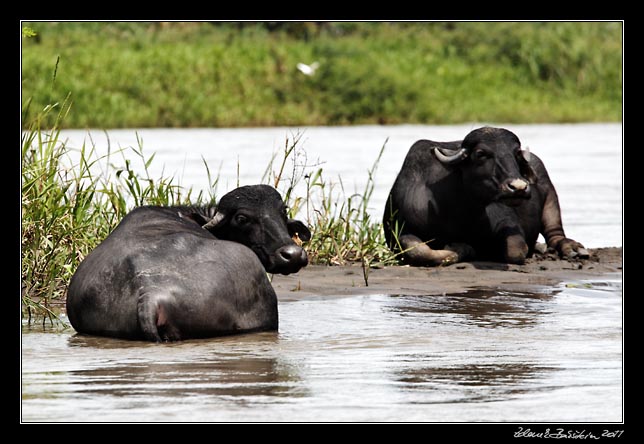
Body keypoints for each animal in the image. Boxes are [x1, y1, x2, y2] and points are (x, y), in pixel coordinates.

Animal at [382, 126, 588, 266]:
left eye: (516, 154)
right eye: (480, 153)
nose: (519, 187)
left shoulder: (508, 224)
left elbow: (516, 251)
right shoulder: (401, 230)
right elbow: (419, 251)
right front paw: (460, 248)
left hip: (551, 199)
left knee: (555, 233)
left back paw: (572, 249)